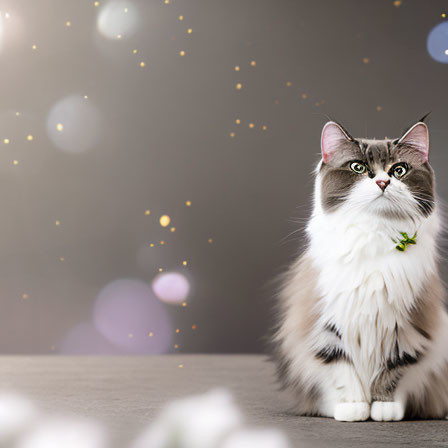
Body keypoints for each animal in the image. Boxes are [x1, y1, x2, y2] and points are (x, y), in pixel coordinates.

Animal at [272, 118, 448, 420]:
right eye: (358, 168)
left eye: (399, 170)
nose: (382, 181)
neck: (375, 233)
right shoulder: (326, 325)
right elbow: (340, 368)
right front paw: (352, 407)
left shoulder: (410, 327)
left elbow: (395, 370)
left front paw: (385, 408)